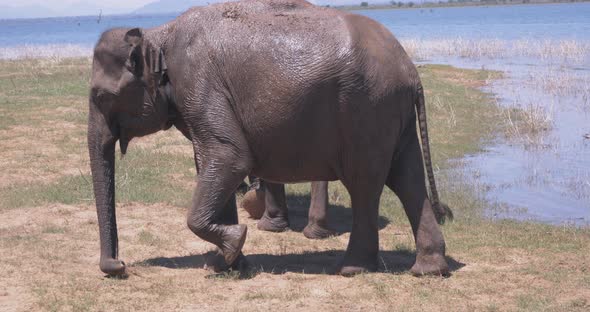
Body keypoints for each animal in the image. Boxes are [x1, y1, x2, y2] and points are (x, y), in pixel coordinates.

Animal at [89, 0, 454, 278]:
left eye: (102, 97)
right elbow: (210, 162)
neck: (157, 33)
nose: (119, 266)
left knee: (365, 184)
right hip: (391, 113)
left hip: (367, 110)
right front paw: (227, 264)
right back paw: (428, 270)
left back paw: (352, 268)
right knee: (407, 179)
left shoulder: (199, 82)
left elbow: (230, 157)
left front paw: (234, 245)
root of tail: (411, 70)